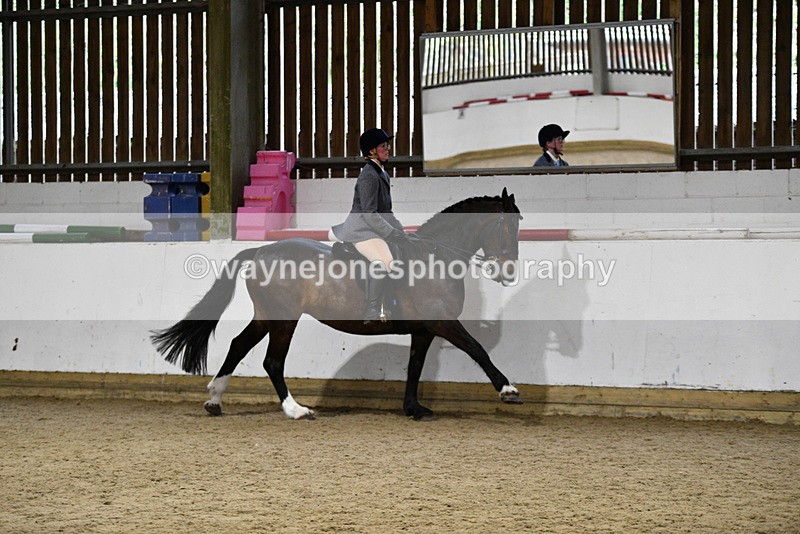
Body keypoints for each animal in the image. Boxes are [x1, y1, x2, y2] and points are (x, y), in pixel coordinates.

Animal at [151, 187, 524, 420]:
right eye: (508, 227)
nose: (507, 272)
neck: (436, 257)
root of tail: (260, 250)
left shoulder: (424, 330)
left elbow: (415, 366)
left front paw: (413, 408)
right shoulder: (442, 322)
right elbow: (478, 349)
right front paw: (508, 390)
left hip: (267, 315)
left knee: (238, 345)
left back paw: (214, 400)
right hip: (285, 319)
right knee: (272, 361)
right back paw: (296, 411)